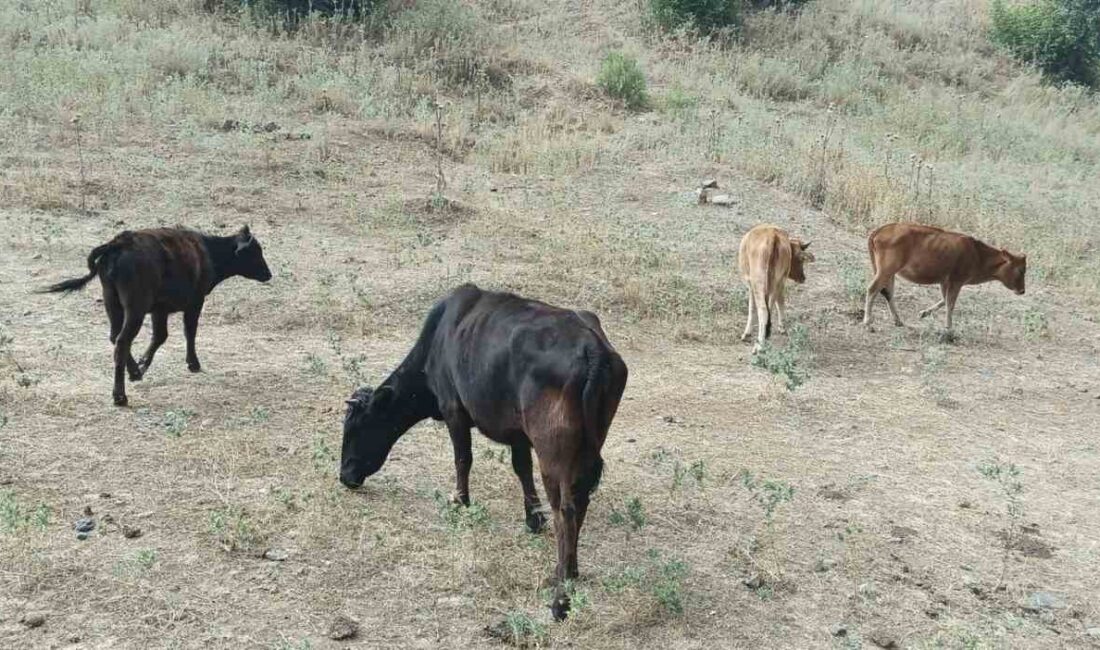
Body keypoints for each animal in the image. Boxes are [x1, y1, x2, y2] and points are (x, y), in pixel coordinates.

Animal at [39, 226, 271, 404]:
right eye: (255, 252)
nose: (268, 274)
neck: (206, 251)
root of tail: (119, 243)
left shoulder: (160, 310)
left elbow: (160, 336)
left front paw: (142, 364)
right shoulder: (194, 303)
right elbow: (189, 332)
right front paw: (193, 364)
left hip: (112, 303)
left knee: (115, 337)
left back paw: (134, 372)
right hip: (135, 309)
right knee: (122, 341)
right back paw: (120, 396)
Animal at [338, 285, 629, 620]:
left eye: (356, 427)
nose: (344, 475)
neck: (438, 341)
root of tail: (592, 348)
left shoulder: (453, 409)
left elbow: (463, 458)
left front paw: (460, 501)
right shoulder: (517, 433)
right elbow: (521, 468)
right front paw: (532, 518)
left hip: (554, 453)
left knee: (566, 511)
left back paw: (560, 595)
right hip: (587, 446)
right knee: (581, 500)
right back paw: (571, 570)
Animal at [734, 226, 814, 354]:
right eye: (799, 259)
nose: (803, 278)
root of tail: (772, 236)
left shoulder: (750, 284)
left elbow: (752, 308)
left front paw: (747, 334)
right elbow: (779, 303)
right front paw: (781, 328)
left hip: (759, 283)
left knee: (763, 310)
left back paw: (759, 345)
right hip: (776, 282)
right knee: (771, 307)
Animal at [862, 222, 1025, 329]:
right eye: (1020, 270)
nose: (1022, 290)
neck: (978, 254)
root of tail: (880, 230)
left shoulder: (944, 281)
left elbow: (944, 300)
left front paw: (924, 313)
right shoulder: (956, 281)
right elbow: (950, 304)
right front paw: (949, 328)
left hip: (890, 273)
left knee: (888, 292)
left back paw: (898, 321)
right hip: (886, 270)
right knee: (873, 289)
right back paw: (868, 321)